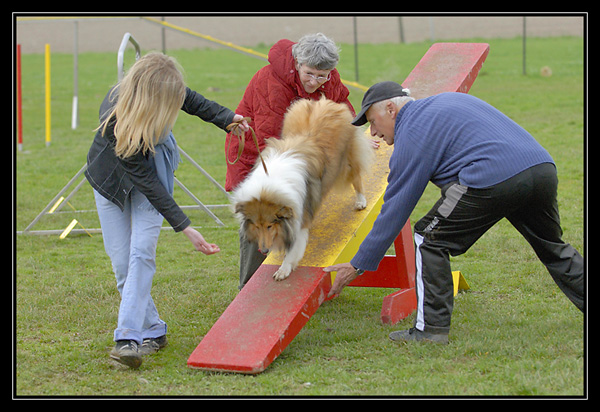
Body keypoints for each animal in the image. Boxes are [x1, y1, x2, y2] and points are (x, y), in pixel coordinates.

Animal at [232, 98, 372, 282]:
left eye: (270, 226)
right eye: (256, 225)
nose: (264, 250)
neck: (268, 186)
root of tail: (324, 101)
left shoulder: (297, 214)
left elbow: (293, 248)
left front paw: (284, 269)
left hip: (347, 160)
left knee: (356, 177)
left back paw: (361, 201)